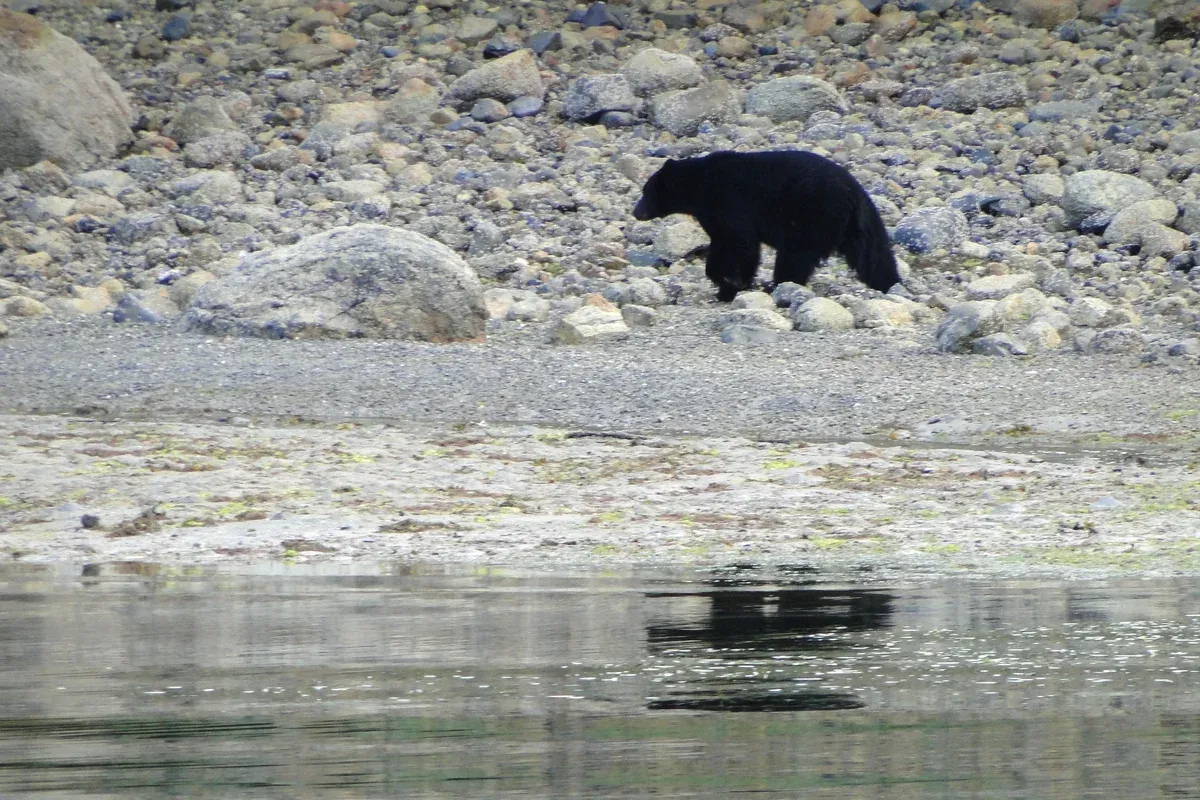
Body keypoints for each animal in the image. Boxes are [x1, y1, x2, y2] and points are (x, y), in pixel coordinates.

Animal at [632, 150, 901, 302]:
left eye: (646, 191)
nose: (636, 212)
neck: (699, 184)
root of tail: (856, 191)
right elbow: (731, 245)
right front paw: (730, 285)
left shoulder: (729, 202)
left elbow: (739, 243)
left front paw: (730, 282)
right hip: (856, 227)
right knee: (874, 256)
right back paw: (890, 284)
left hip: (814, 216)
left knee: (795, 256)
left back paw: (779, 286)